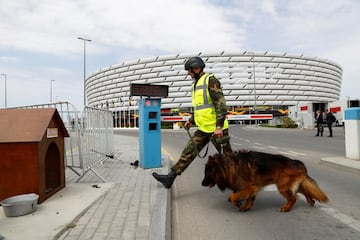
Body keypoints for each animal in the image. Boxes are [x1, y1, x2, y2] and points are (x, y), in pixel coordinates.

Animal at [202, 150, 330, 212]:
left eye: (207, 173)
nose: (202, 184)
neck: (229, 166)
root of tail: (298, 162)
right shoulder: (251, 188)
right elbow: (249, 199)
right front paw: (246, 207)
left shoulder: (251, 187)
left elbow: (233, 196)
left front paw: (237, 203)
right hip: (292, 185)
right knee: (305, 191)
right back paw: (310, 200)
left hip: (282, 186)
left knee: (293, 198)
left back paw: (286, 208)